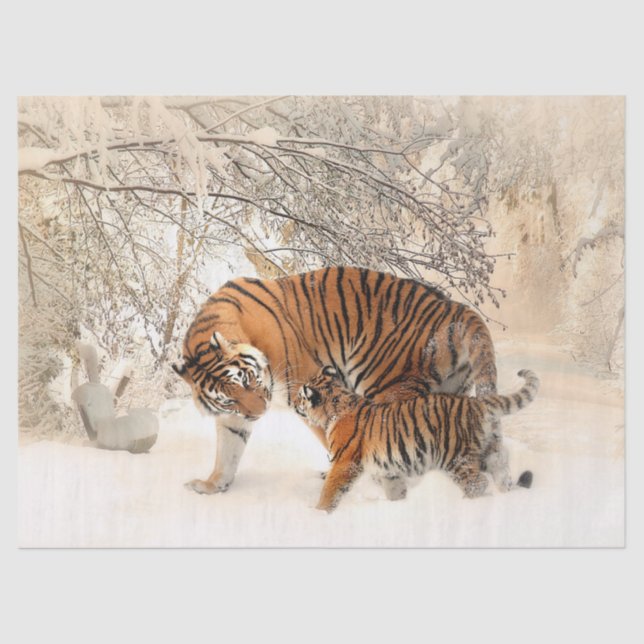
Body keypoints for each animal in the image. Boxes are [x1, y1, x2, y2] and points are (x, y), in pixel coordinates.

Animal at [173, 266, 501, 497]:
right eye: (229, 398)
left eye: (248, 380)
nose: (259, 413)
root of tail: (456, 308)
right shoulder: (233, 416)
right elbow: (228, 451)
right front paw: (212, 486)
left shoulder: (307, 388)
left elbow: (334, 438)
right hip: (450, 392)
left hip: (387, 386)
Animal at [295, 365, 539, 512]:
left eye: (300, 396)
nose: (295, 404)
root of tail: (476, 402)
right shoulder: (388, 469)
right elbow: (395, 489)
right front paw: (399, 505)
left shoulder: (344, 463)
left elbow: (330, 490)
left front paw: (319, 513)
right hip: (488, 451)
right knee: (501, 472)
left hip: (455, 458)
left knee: (477, 484)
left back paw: (464, 505)